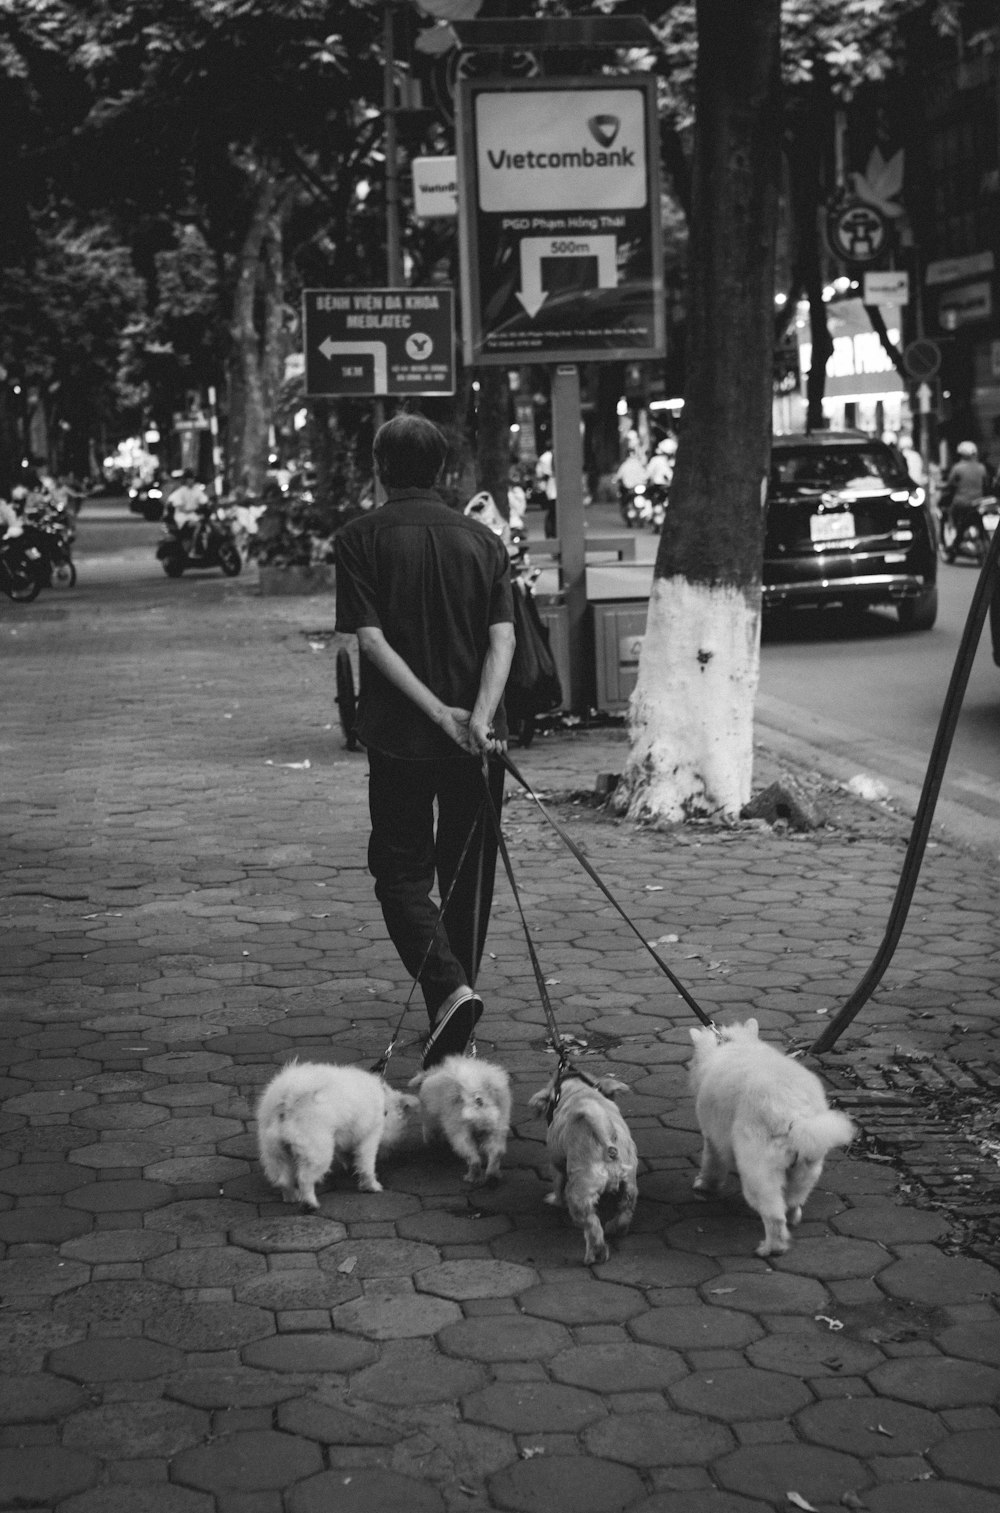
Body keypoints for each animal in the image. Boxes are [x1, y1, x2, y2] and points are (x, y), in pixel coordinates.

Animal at [257, 1059, 417, 1210]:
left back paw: (291, 1197)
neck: (384, 1104)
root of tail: (287, 1101)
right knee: (304, 1179)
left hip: (276, 1152)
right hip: (317, 1152)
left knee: (283, 1179)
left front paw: (351, 1167)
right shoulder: (369, 1137)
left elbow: (346, 1154)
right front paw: (371, 1186)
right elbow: (367, 1166)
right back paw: (309, 1203)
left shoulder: (343, 1138)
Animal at [529, 1071, 638, 1270]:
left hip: (579, 1194)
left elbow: (558, 1186)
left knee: (592, 1227)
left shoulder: (557, 1164)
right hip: (629, 1182)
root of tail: (607, 1142)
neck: (579, 1091)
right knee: (625, 1208)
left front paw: (554, 1200)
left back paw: (595, 1255)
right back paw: (615, 1228)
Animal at [689, 1022, 853, 1258]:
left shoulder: (712, 1137)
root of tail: (794, 1114)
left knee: (775, 1217)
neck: (732, 1044)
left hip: (760, 1173)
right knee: (792, 1202)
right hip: (806, 1167)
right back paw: (792, 1219)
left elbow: (711, 1165)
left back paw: (770, 1248)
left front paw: (704, 1185)